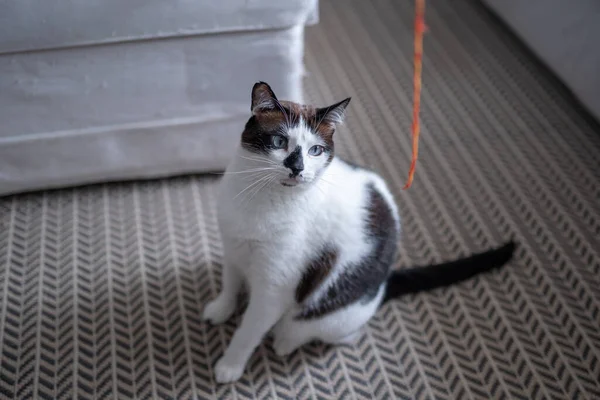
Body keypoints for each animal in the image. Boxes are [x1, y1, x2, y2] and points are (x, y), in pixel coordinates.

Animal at [203, 82, 516, 384]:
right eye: (279, 142)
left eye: (315, 150)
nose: (297, 168)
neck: (260, 199)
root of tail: (382, 286)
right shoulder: (233, 247)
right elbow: (230, 283)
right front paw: (221, 308)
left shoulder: (274, 288)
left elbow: (248, 331)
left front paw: (230, 365)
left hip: (331, 317)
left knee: (336, 333)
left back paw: (285, 341)